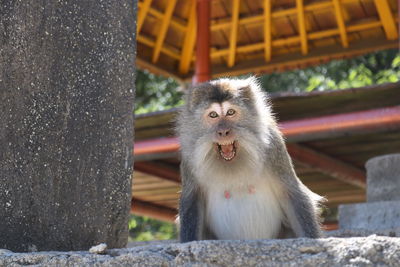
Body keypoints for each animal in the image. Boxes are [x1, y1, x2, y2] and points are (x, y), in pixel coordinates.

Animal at [177, 76, 324, 242]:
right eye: (213, 115)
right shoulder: (189, 158)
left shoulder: (274, 148)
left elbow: (292, 193)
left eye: (230, 112)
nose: (223, 131)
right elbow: (192, 201)